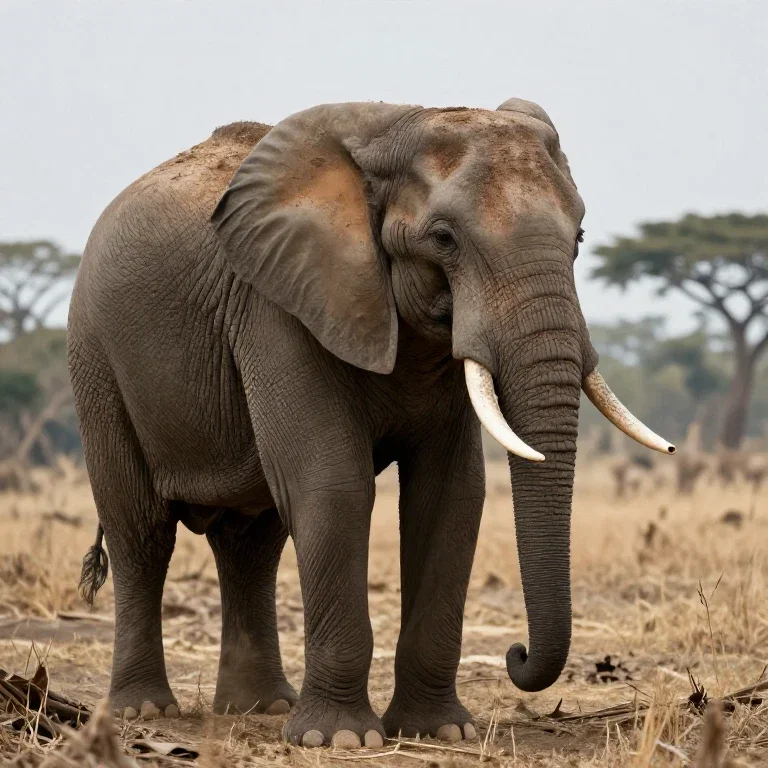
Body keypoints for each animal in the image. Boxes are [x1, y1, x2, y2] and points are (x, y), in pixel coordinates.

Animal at [68, 98, 674, 747]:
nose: (516, 654)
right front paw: (339, 740)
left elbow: (451, 495)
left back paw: (262, 708)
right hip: (97, 360)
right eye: (443, 238)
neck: (396, 128)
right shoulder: (278, 306)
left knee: (252, 543)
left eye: (580, 236)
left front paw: (442, 732)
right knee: (142, 532)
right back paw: (144, 712)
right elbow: (333, 486)